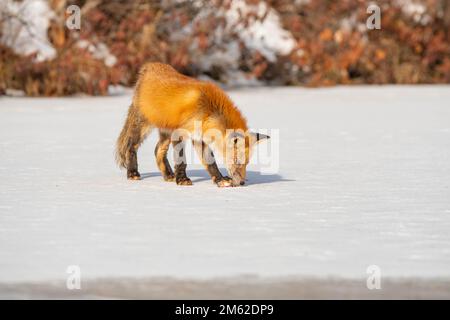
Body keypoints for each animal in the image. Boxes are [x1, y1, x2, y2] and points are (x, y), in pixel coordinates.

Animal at [118, 62, 268, 186]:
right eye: (237, 161)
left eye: (247, 163)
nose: (242, 182)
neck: (207, 111)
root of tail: (148, 67)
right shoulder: (180, 133)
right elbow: (181, 160)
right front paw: (182, 180)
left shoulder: (199, 137)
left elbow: (210, 162)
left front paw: (220, 180)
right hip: (144, 126)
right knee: (131, 147)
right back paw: (132, 173)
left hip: (166, 131)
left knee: (158, 151)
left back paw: (169, 175)